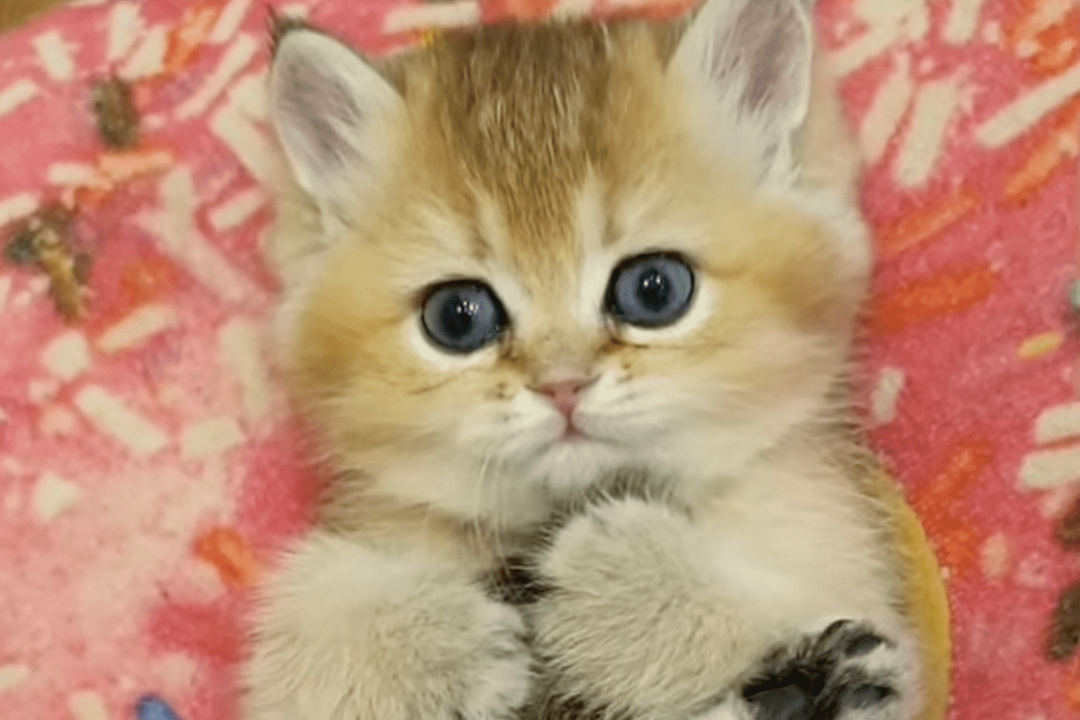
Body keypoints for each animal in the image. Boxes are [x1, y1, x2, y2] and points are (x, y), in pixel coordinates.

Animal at [250, 0, 946, 716]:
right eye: (457, 317)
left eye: (654, 289)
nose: (563, 386)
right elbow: (312, 625)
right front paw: (432, 644)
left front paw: (624, 582)